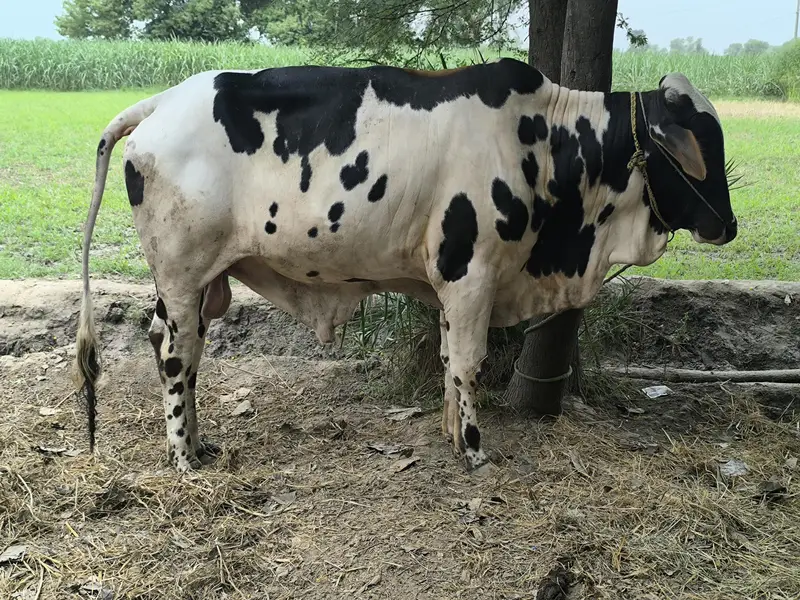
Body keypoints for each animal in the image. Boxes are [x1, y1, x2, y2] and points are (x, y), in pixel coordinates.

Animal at [73, 57, 737, 473]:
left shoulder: (453, 284)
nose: (727, 226)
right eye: (698, 144)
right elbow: (469, 363)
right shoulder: (472, 274)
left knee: (178, 350)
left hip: (200, 284)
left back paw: (199, 442)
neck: (547, 142)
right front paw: (475, 449)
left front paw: (450, 434)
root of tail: (162, 102)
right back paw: (185, 458)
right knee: (175, 356)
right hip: (182, 276)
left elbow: (448, 361)